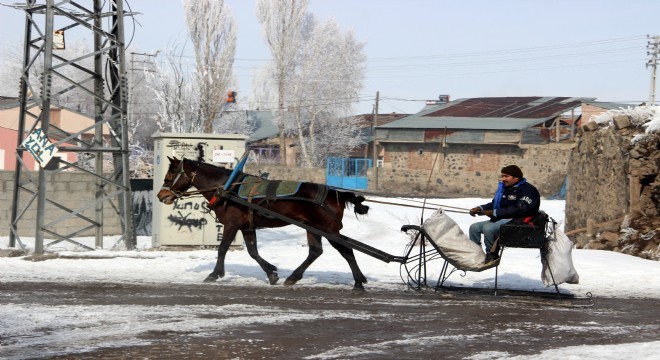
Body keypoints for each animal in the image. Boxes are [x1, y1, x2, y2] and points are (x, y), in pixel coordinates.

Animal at [155, 157, 372, 290]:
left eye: (170, 175)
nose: (161, 195)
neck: (228, 189)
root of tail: (335, 194)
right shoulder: (247, 227)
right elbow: (253, 252)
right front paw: (271, 273)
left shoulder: (232, 225)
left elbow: (222, 249)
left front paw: (214, 274)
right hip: (314, 228)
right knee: (315, 251)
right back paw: (294, 277)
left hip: (328, 229)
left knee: (346, 251)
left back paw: (358, 282)